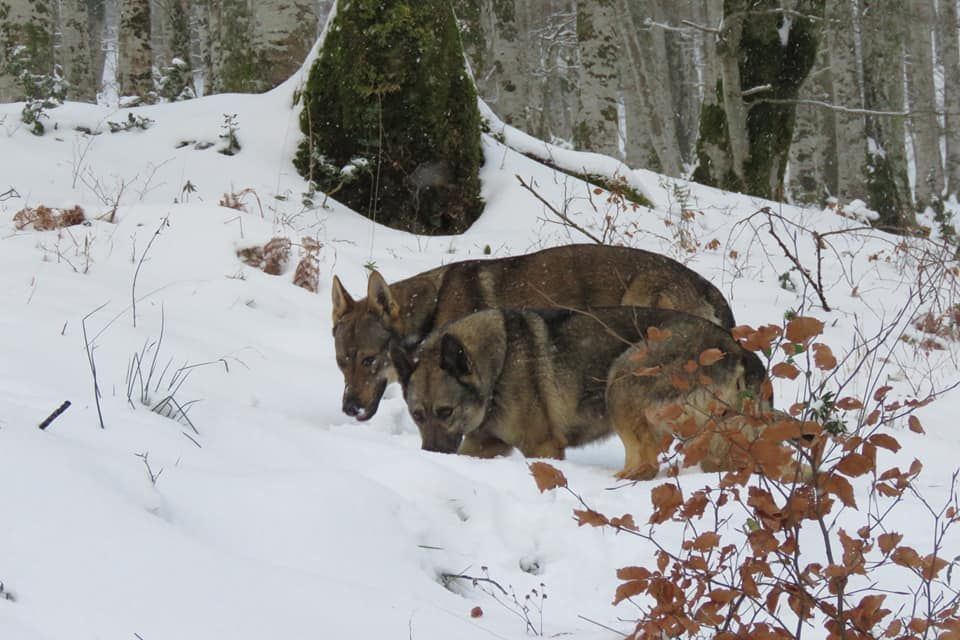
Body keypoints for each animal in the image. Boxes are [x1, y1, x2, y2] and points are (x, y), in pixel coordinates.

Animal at [393, 306, 774, 478]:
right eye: (417, 415)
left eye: (445, 412)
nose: (430, 455)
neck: (498, 364)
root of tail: (737, 349)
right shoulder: (483, 443)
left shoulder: (543, 447)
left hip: (620, 380)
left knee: (646, 465)